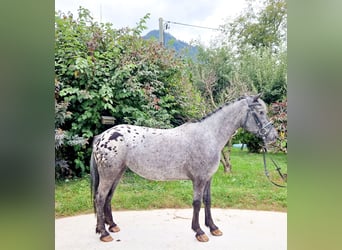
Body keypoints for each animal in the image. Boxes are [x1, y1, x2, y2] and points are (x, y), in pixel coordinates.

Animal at [89, 94, 276, 242]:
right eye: (261, 112)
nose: (273, 136)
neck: (209, 135)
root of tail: (102, 136)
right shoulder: (199, 179)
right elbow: (197, 203)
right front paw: (199, 231)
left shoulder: (208, 178)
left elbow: (208, 201)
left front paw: (213, 228)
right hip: (109, 175)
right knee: (100, 198)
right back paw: (104, 233)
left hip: (117, 173)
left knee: (108, 197)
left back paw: (112, 226)